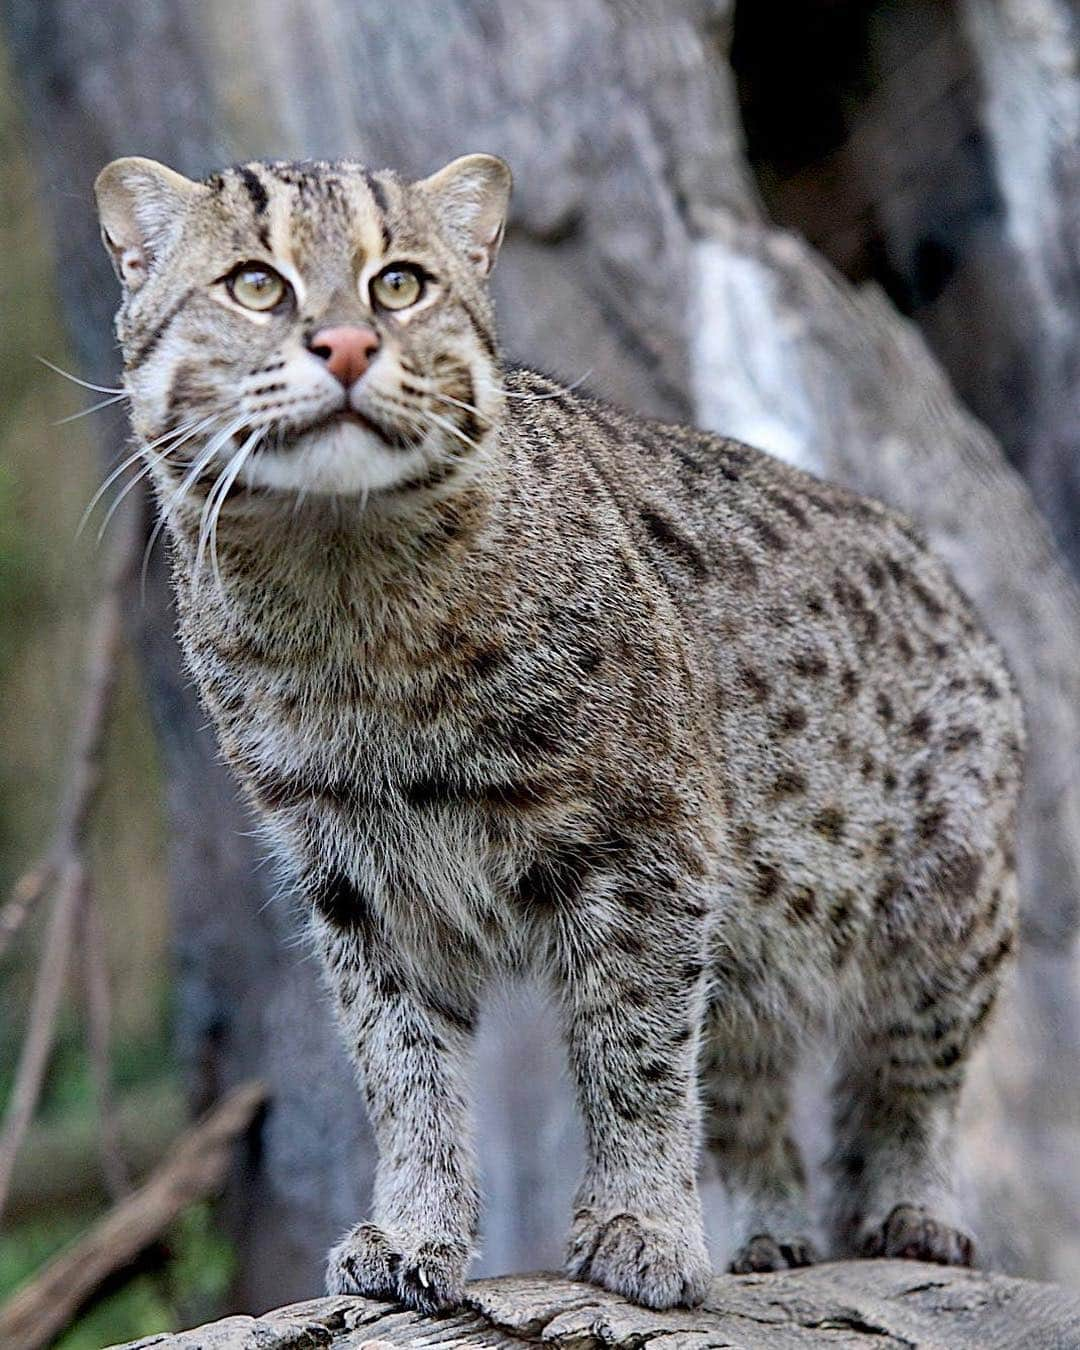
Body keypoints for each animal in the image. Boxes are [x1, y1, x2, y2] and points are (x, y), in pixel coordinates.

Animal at [93, 153, 1020, 1312]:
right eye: (255, 285)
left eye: (400, 284)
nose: (348, 345)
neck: (347, 587)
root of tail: (947, 581)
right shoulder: (355, 879)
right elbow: (403, 1069)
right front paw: (413, 1232)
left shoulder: (649, 849)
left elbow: (634, 1054)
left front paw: (639, 1230)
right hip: (761, 947)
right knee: (754, 1088)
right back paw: (771, 1236)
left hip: (941, 916)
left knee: (907, 1080)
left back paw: (910, 1217)